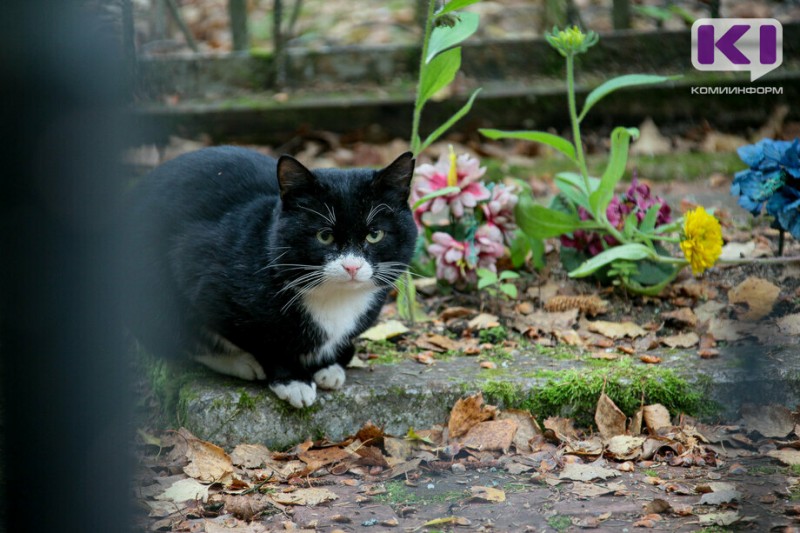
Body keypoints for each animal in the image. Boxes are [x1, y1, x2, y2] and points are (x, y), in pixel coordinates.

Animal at [128, 145, 416, 408]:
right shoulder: (199, 270)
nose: (352, 267)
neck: (334, 298)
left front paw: (328, 366)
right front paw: (293, 380)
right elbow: (263, 339)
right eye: (324, 236)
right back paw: (240, 362)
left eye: (375, 234)